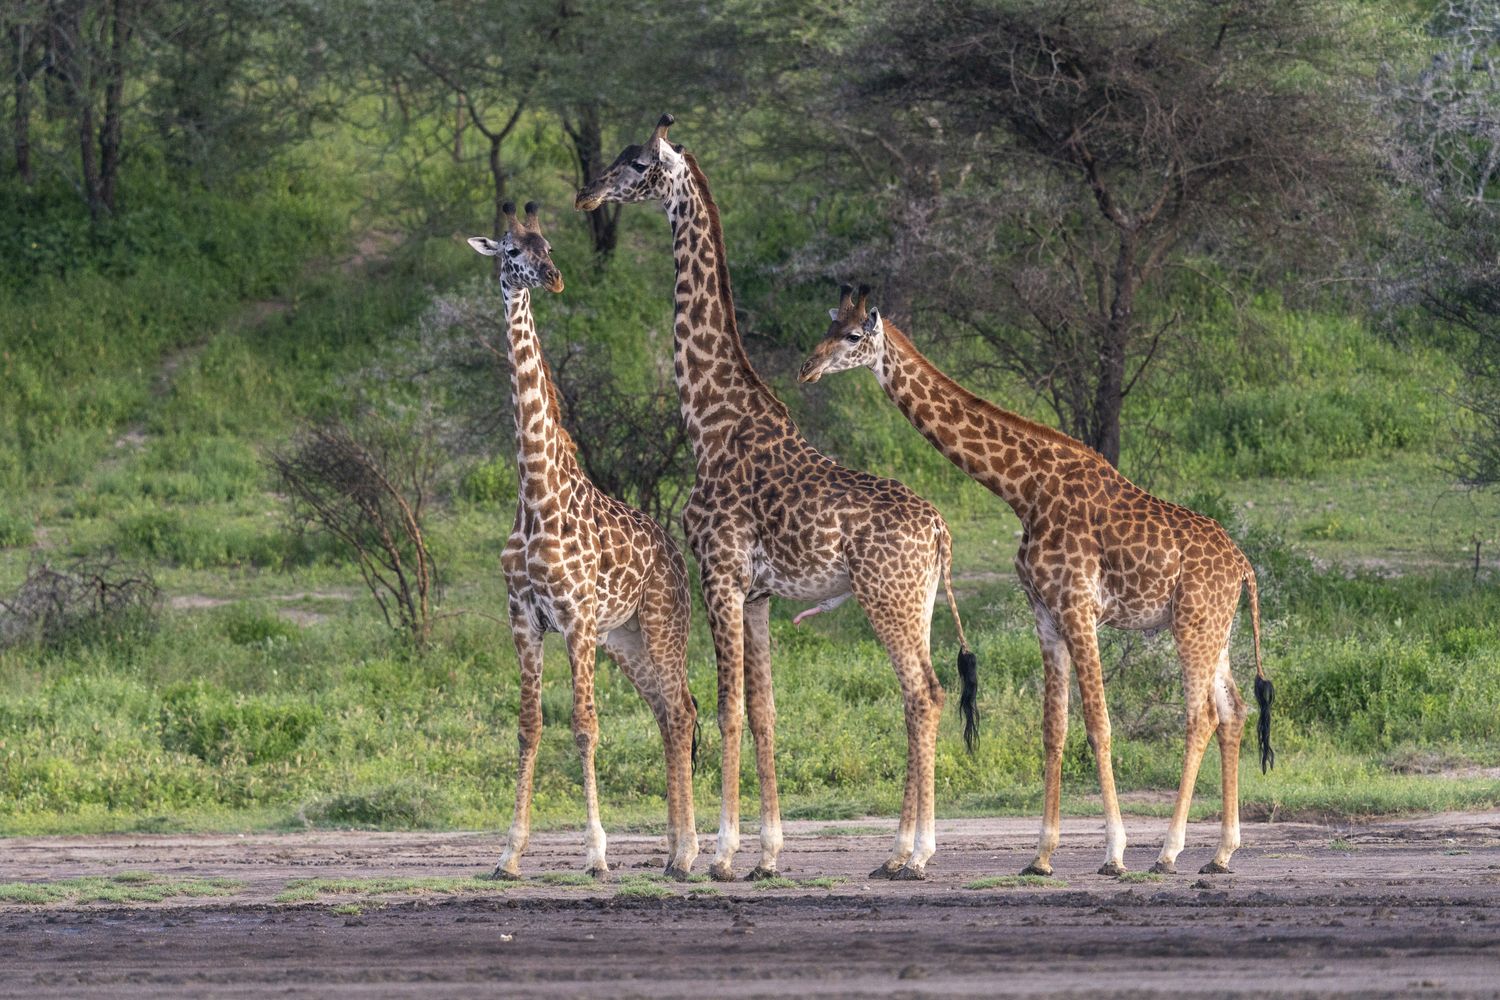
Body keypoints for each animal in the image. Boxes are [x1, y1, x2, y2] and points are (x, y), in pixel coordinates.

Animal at [467, 201, 699, 880]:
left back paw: (689, 852)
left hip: (661, 624)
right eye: (511, 250)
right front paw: (509, 853)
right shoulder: (523, 617)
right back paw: (674, 851)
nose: (555, 278)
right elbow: (529, 726)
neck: (536, 495)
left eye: (547, 244)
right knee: (669, 713)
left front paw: (596, 853)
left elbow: (584, 725)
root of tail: (677, 557)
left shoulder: (574, 618)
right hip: (625, 640)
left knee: (681, 711)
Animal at [576, 116, 979, 882]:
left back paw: (916, 856)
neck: (710, 422)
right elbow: (763, 712)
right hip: (917, 605)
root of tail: (944, 531)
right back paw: (902, 851)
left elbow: (728, 709)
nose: (586, 194)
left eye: (638, 163)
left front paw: (720, 854)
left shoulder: (721, 574)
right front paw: (766, 852)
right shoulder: (759, 593)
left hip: (887, 599)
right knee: (930, 692)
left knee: (922, 694)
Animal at [799, 286, 1274, 876]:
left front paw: (1114, 853)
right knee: (1234, 711)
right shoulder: (1045, 615)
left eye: (852, 336)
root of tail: (1244, 565)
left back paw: (1167, 853)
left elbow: (1098, 724)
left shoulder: (1078, 607)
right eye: (826, 326)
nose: (807, 368)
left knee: (1201, 715)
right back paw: (1222, 852)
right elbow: (1054, 729)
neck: (1023, 489)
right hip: (1217, 629)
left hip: (1192, 625)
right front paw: (1042, 856)